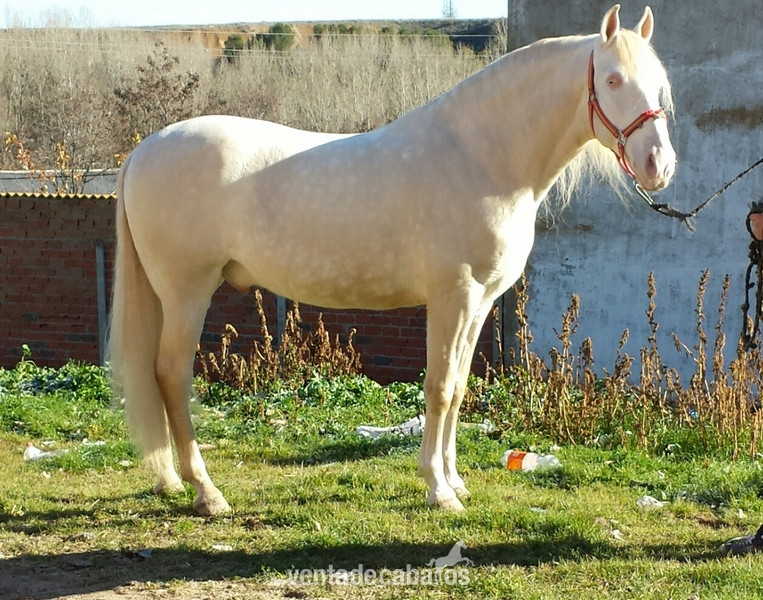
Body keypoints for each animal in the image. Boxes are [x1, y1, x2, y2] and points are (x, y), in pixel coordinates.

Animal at [108, 4, 676, 516]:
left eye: (660, 83)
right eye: (613, 78)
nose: (659, 165)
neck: (481, 156)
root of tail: (142, 151)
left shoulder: (479, 303)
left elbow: (459, 387)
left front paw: (454, 480)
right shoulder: (453, 296)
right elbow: (439, 388)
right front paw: (439, 491)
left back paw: (173, 481)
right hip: (187, 292)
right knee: (172, 375)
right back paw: (208, 493)